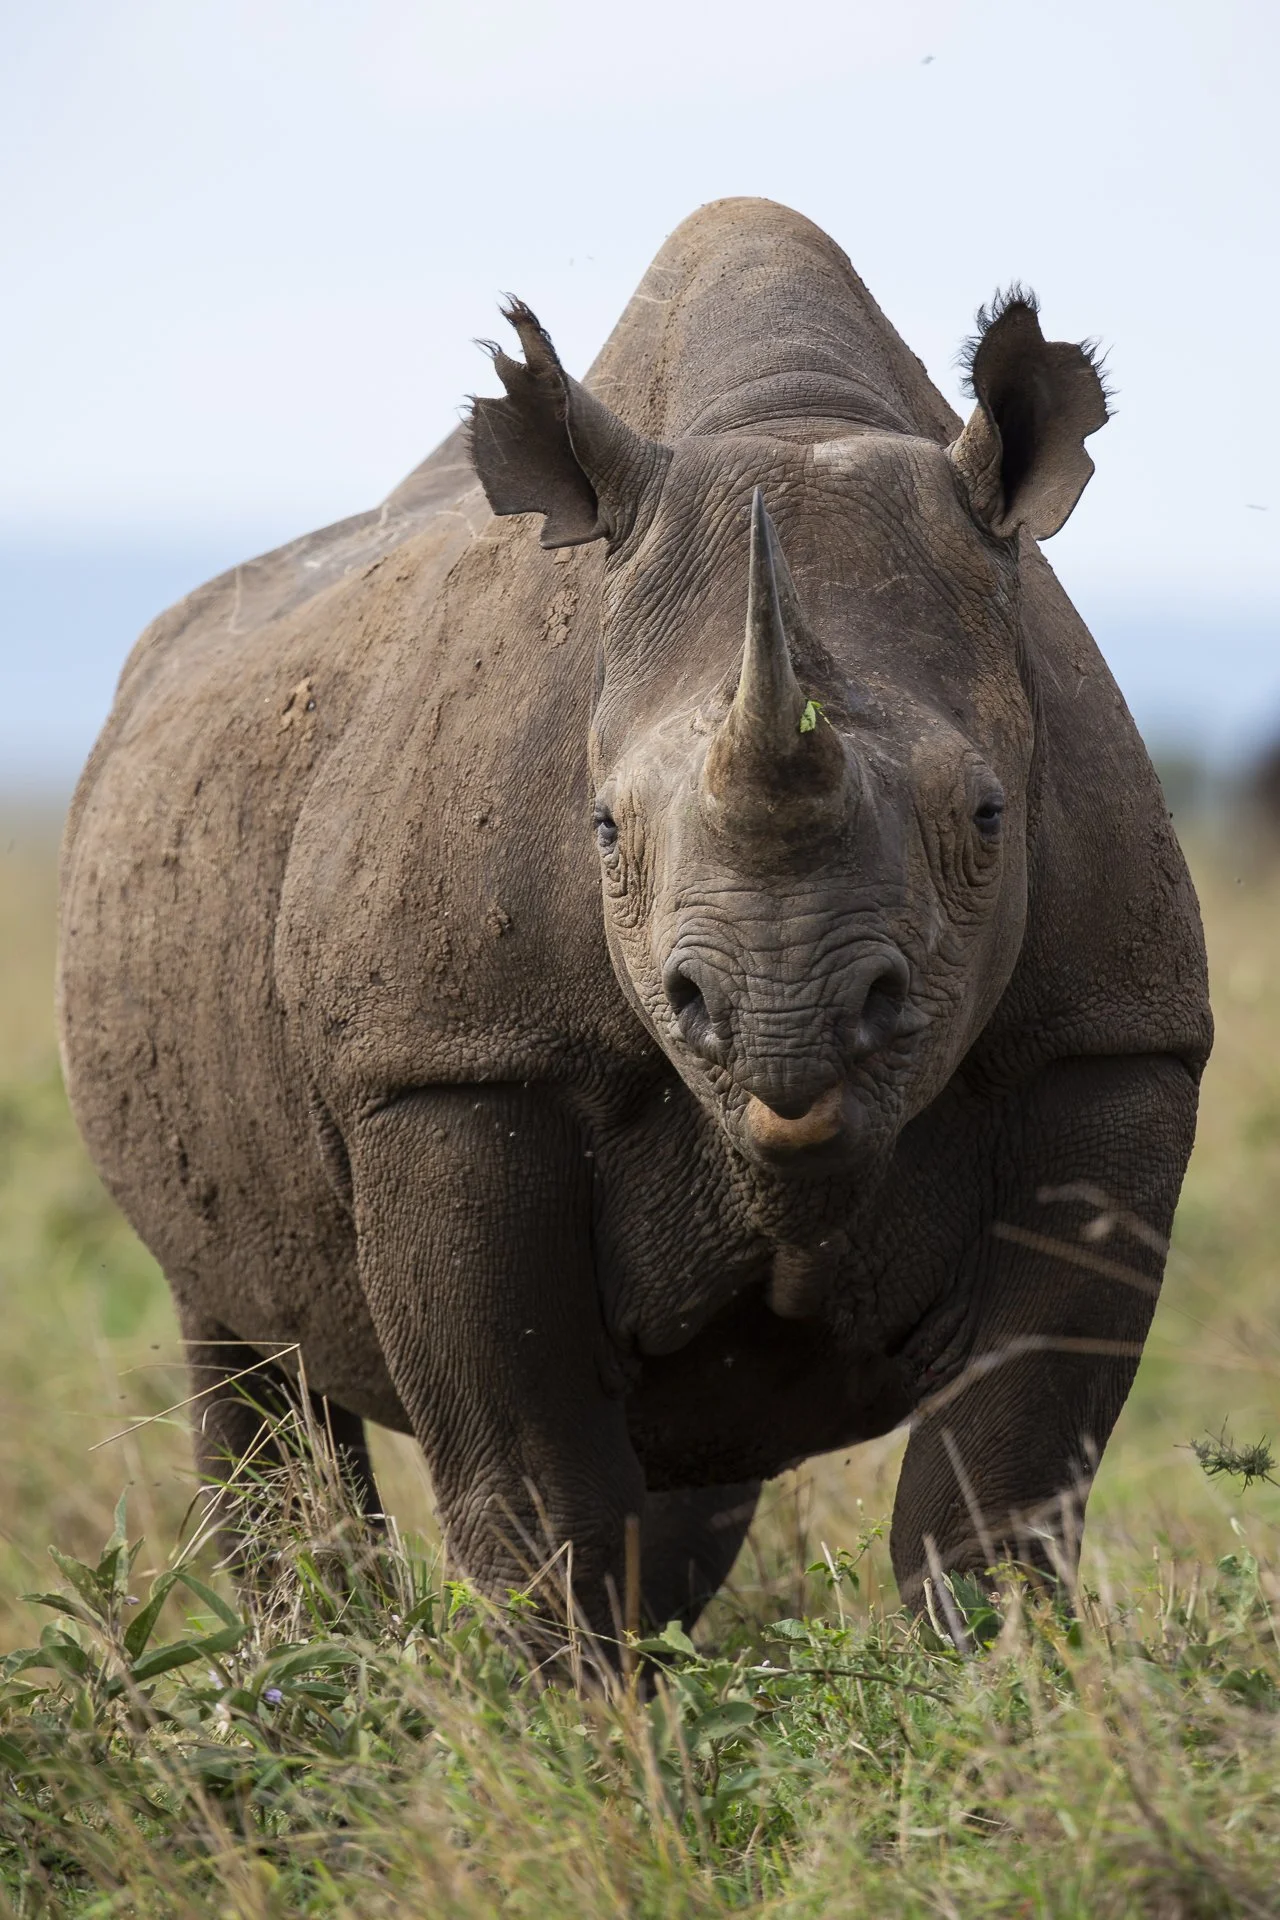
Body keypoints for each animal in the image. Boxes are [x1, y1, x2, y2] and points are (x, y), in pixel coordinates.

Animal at [58, 198, 1211, 1639]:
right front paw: (565, 1702)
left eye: (990, 819)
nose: (784, 1023)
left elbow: (999, 1480)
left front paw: (999, 1681)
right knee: (240, 1337)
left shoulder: (1110, 1040)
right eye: (601, 830)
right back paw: (312, 1659)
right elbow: (535, 1486)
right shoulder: (448, 1064)